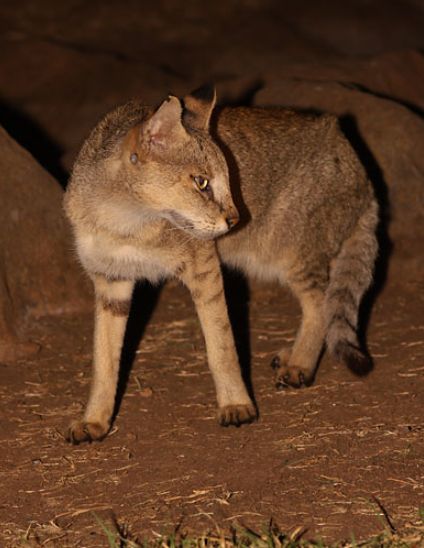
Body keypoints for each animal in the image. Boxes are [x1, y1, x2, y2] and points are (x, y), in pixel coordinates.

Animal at [63, 86, 378, 446]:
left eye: (229, 179)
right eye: (201, 182)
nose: (235, 219)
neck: (123, 222)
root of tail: (351, 151)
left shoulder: (204, 268)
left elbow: (221, 346)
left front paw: (236, 404)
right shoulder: (110, 281)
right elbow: (104, 360)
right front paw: (94, 420)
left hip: (289, 254)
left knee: (320, 303)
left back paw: (299, 365)